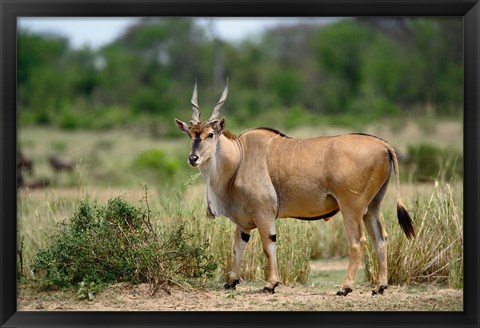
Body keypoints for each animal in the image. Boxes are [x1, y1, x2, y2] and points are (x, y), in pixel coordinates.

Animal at [174, 80, 414, 298]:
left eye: (210, 135)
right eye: (190, 135)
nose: (193, 158)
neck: (239, 157)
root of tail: (384, 145)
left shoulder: (264, 214)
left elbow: (268, 245)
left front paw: (271, 284)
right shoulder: (243, 221)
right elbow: (237, 246)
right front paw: (231, 281)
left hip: (351, 208)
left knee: (358, 242)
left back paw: (345, 288)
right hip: (372, 207)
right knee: (380, 239)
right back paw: (380, 286)